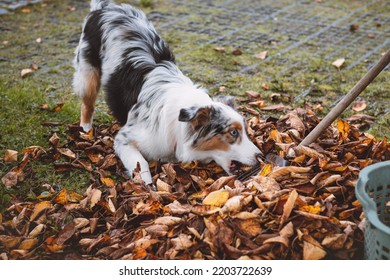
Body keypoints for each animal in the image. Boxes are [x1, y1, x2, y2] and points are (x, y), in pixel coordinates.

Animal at [73, 0, 262, 187]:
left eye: (245, 130)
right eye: (233, 133)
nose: (261, 156)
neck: (178, 125)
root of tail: (106, 7)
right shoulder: (124, 138)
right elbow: (140, 163)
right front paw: (147, 186)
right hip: (88, 75)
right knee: (87, 105)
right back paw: (86, 130)